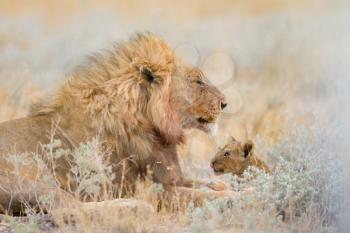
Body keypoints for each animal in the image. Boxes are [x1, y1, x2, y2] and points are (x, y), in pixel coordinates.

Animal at [0, 32, 227, 211]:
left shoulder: (174, 177)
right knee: (69, 208)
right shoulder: (154, 187)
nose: (225, 103)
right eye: (197, 81)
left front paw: (228, 186)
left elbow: (210, 184)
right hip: (35, 178)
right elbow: (202, 195)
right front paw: (232, 198)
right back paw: (134, 204)